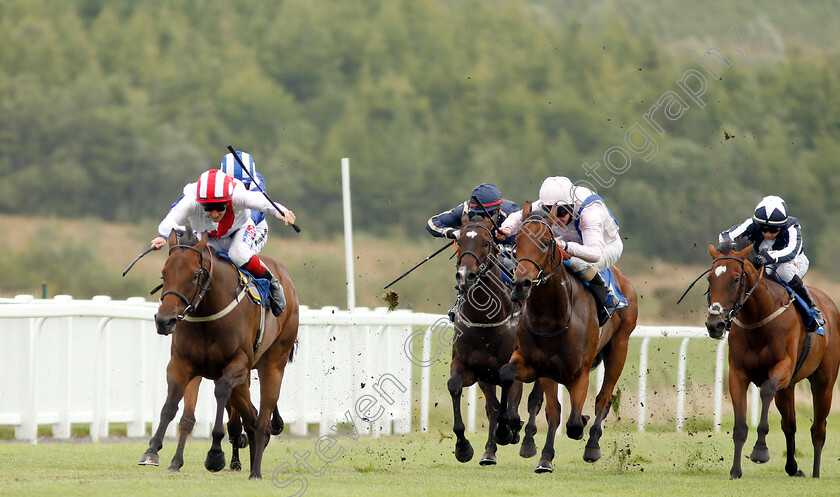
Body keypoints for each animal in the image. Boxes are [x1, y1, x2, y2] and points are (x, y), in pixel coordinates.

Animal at [141, 231, 302, 478]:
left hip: (273, 362)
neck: (208, 314)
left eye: (194, 275)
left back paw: (256, 471)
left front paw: (215, 453)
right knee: (251, 417)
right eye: (164, 273)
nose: (164, 321)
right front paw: (153, 450)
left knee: (262, 418)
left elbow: (221, 392)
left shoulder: (238, 364)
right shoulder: (182, 364)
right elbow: (172, 405)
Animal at [452, 215, 544, 464]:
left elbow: (511, 408)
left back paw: (527, 441)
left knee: (534, 401)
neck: (485, 320)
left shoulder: (511, 367)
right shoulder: (471, 367)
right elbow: (455, 387)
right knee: (493, 407)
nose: (465, 275)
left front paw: (510, 431)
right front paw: (463, 447)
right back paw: (489, 451)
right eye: (459, 241)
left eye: (486, 242)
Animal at [492, 202, 636, 472]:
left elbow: (574, 423)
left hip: (619, 348)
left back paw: (593, 445)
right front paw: (538, 453)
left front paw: (582, 425)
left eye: (546, 242)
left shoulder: (579, 372)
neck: (552, 318)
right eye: (518, 242)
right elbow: (550, 409)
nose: (521, 284)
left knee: (603, 398)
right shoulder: (541, 366)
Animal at [704, 242, 840, 478]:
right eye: (710, 278)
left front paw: (760, 450)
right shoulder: (738, 374)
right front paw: (735, 470)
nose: (715, 325)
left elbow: (766, 391)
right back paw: (792, 467)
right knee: (789, 424)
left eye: (736, 279)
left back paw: (815, 472)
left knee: (818, 428)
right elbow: (740, 427)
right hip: (788, 388)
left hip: (824, 382)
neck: (759, 319)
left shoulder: (782, 368)